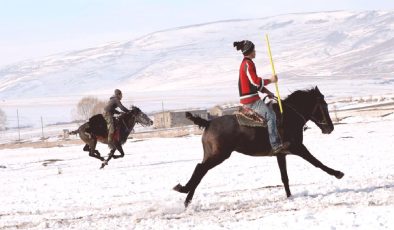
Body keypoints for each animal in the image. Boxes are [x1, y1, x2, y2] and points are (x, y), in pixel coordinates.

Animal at [174, 86, 344, 207]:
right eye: (324, 105)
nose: (330, 128)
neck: (288, 116)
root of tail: (208, 122)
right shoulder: (298, 147)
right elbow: (316, 162)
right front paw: (338, 173)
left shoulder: (281, 154)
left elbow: (285, 177)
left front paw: (289, 197)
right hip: (219, 155)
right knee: (200, 169)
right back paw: (184, 192)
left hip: (211, 154)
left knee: (200, 170)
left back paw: (186, 198)